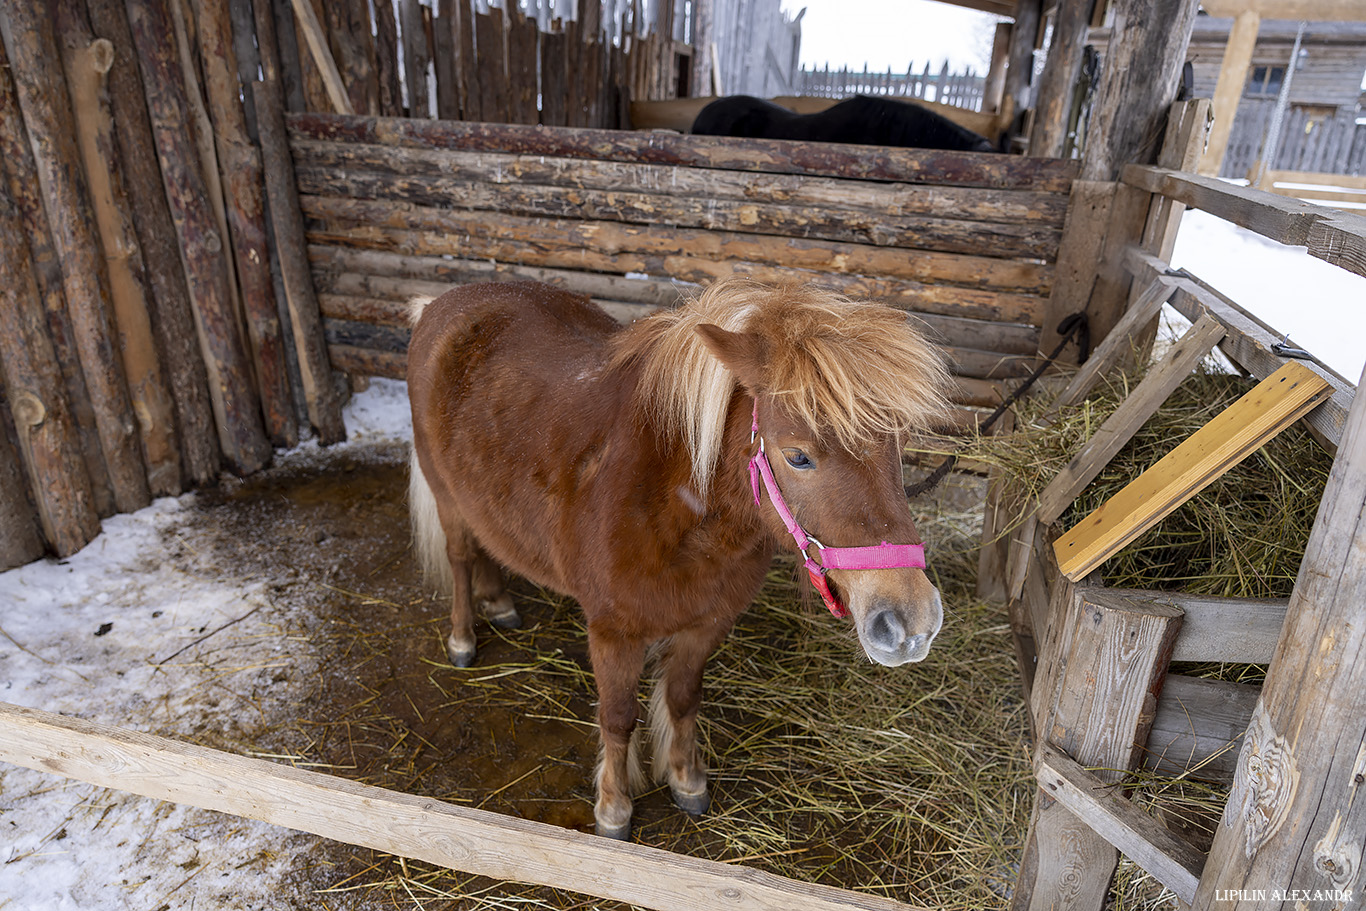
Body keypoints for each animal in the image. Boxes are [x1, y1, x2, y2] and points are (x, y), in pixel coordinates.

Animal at [407, 278, 950, 841]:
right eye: (798, 455)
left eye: (898, 445)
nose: (912, 622)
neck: (674, 507)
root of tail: (443, 303)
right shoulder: (612, 634)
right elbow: (617, 717)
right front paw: (614, 807)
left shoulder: (707, 623)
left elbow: (684, 699)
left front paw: (687, 779)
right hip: (445, 495)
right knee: (461, 556)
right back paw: (464, 637)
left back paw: (499, 603)